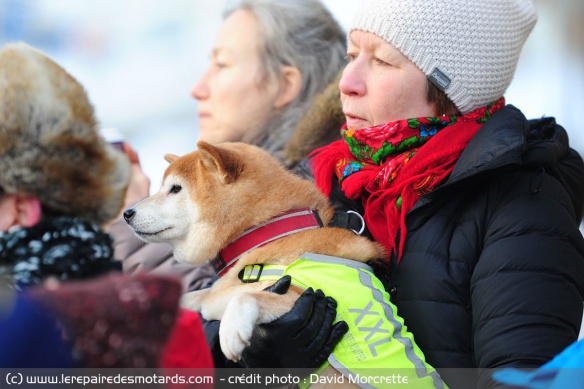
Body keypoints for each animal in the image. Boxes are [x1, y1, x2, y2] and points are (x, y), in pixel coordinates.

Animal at [123, 141, 442, 386]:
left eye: (175, 189)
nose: (126, 213)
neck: (266, 232)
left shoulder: (310, 299)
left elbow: (245, 297)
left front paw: (230, 330)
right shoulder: (216, 295)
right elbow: (199, 296)